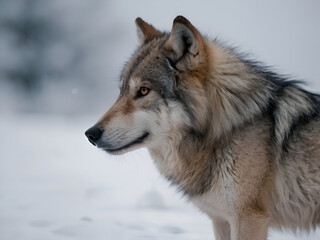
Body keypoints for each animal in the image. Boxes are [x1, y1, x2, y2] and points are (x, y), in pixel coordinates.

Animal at [85, 15, 320, 239]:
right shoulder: (221, 220)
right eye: (122, 91)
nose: (90, 134)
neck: (223, 131)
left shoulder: (249, 219)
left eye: (143, 91)